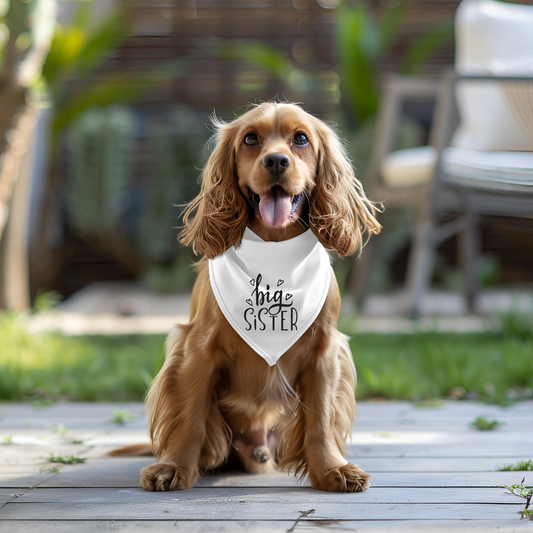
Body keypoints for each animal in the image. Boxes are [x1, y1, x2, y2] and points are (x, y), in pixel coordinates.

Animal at [131, 102, 380, 492]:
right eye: (250, 139)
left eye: (301, 139)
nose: (276, 161)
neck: (273, 248)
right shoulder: (196, 348)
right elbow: (189, 416)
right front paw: (172, 467)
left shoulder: (325, 352)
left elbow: (321, 421)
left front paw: (332, 470)